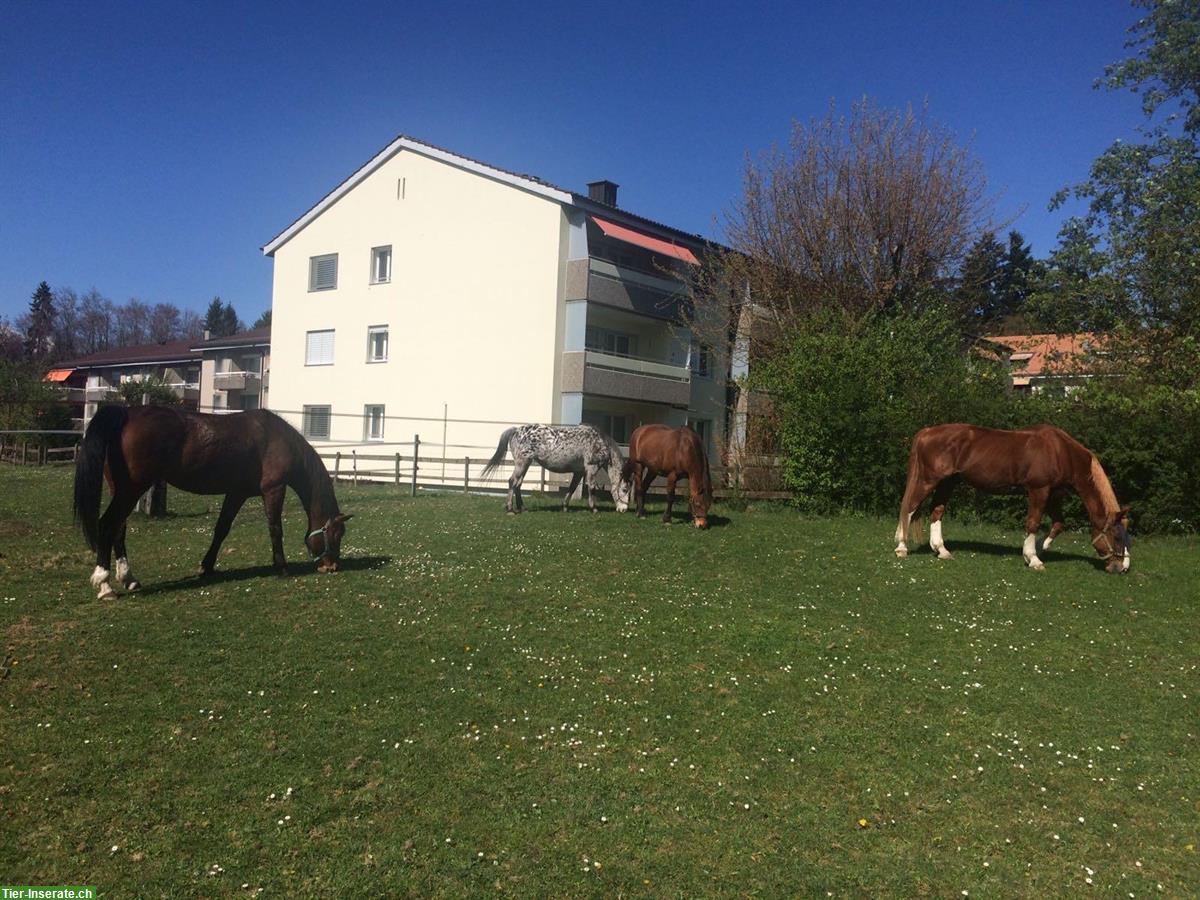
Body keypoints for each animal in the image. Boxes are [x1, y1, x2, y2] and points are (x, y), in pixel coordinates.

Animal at [72, 408, 350, 600]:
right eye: (337, 535)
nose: (331, 567)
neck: (276, 438)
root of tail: (127, 413)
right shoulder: (273, 490)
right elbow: (275, 529)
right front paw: (281, 567)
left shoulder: (236, 493)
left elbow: (221, 529)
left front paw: (207, 565)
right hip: (131, 490)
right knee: (107, 524)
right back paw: (105, 585)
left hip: (122, 490)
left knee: (118, 528)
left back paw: (128, 578)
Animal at [480, 427, 633, 518]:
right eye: (624, 489)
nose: (623, 509)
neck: (599, 443)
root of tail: (516, 430)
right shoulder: (592, 468)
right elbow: (591, 488)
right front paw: (594, 508)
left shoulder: (579, 472)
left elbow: (572, 488)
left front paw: (565, 507)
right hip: (522, 463)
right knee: (512, 482)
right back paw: (510, 509)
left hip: (525, 464)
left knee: (518, 484)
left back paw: (523, 508)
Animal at [892, 424, 1132, 578]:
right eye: (1117, 536)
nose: (1123, 567)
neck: (1060, 452)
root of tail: (927, 432)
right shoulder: (1038, 490)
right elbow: (1033, 522)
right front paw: (1033, 559)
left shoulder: (1053, 495)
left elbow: (1058, 524)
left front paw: (1037, 549)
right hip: (928, 480)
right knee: (910, 509)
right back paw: (902, 548)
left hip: (947, 482)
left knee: (936, 511)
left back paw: (941, 550)